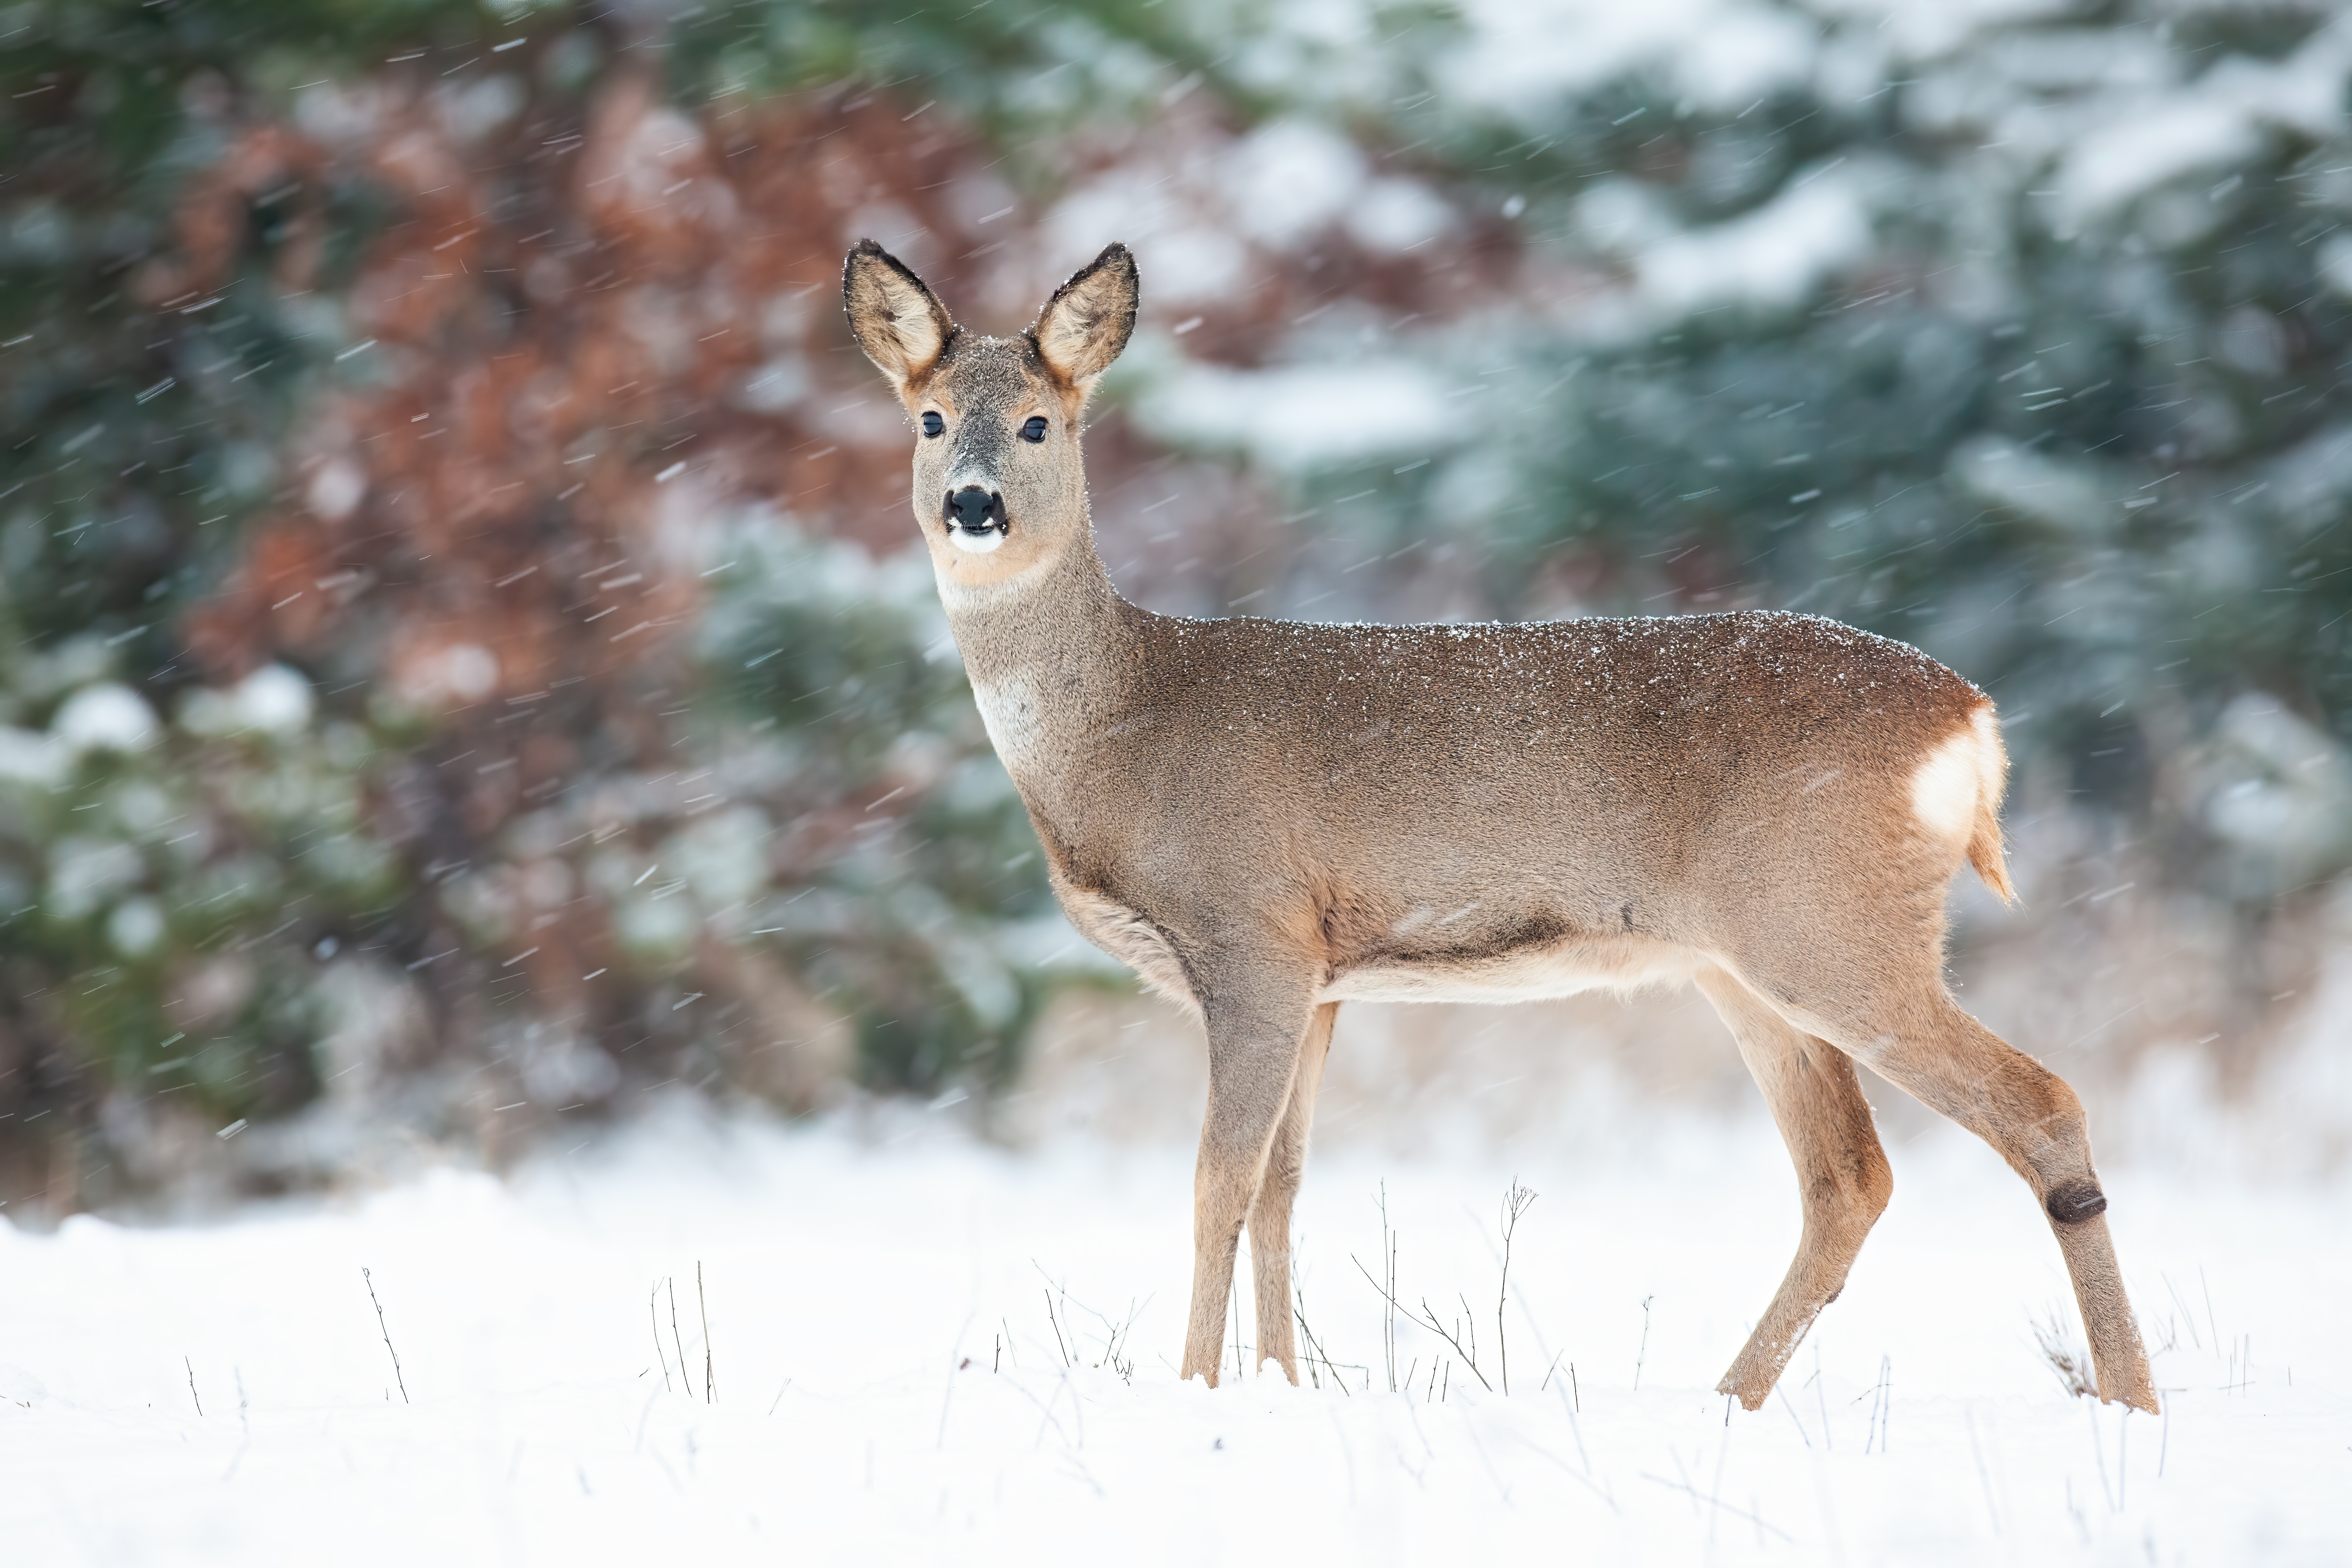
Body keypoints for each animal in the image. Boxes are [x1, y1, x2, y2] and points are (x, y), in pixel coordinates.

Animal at [837, 240, 2154, 1420]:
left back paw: (2131, 1398)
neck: (1116, 727)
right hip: (1744, 959)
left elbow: (1218, 1179)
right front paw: (1278, 1386)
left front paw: (1197, 1390)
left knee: (2038, 1102)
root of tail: (1970, 716)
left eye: (1038, 425)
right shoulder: (1320, 972)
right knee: (1847, 1173)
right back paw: (1723, 1403)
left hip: (1832, 924)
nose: (971, 504)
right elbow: (1281, 1187)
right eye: (930, 419)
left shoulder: (1247, 930)